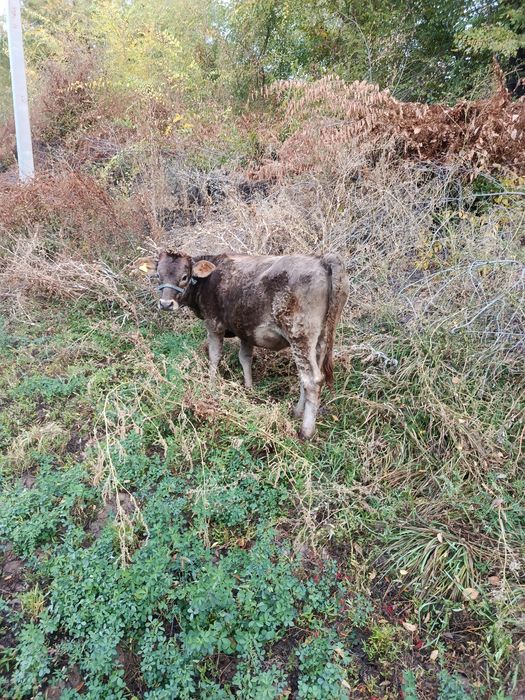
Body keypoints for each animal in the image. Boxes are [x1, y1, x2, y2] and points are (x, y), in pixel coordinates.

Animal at [136, 251, 349, 439]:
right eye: (158, 275)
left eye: (184, 276)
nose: (165, 304)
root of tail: (321, 260)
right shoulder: (245, 328)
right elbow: (245, 357)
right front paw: (249, 388)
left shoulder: (214, 324)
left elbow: (214, 357)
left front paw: (212, 388)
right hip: (321, 338)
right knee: (310, 376)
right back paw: (297, 412)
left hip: (299, 334)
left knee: (311, 379)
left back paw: (306, 432)